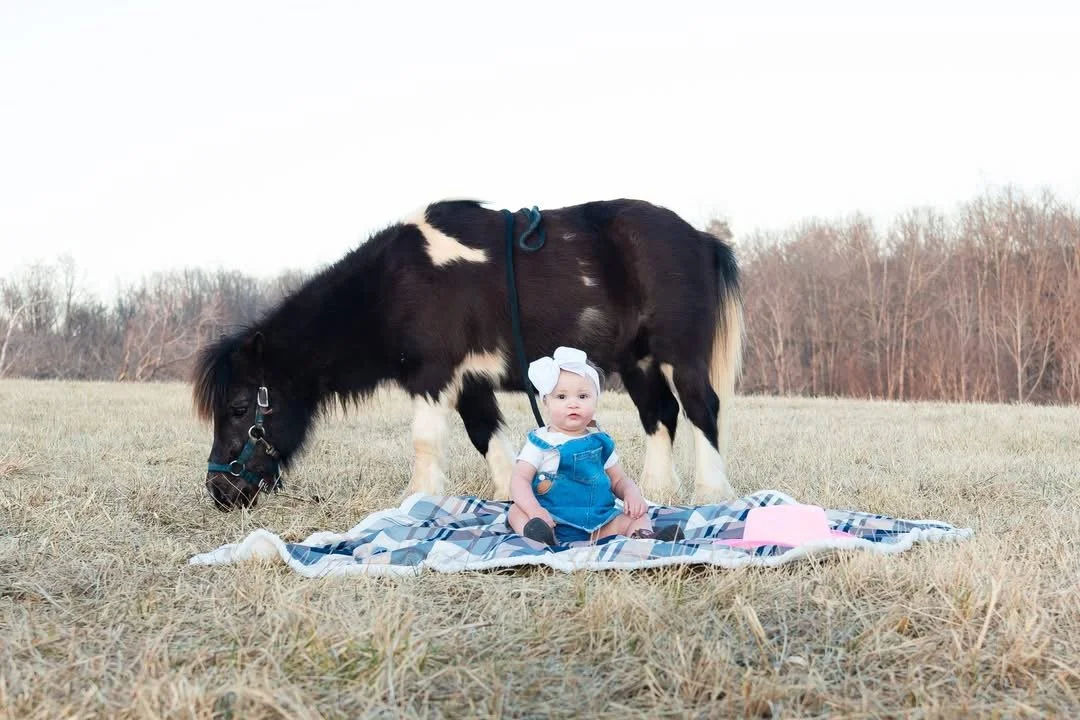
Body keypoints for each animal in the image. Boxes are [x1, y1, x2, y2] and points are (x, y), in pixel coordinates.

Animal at [192, 198, 743, 511]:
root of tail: (701, 238)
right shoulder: (470, 382)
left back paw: (710, 496)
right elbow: (487, 438)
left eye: (239, 408)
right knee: (660, 415)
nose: (221, 492)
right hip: (637, 362)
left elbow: (425, 440)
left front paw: (418, 499)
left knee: (701, 409)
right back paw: (657, 493)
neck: (394, 286)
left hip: (678, 355)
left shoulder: (433, 375)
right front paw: (507, 499)